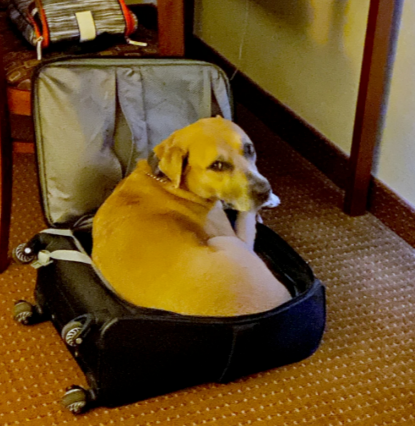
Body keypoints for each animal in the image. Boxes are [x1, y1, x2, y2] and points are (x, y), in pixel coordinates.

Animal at [92, 117, 291, 316]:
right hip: (225, 241)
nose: (265, 191)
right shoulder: (233, 233)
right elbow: (246, 214)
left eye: (249, 149)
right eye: (217, 165)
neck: (166, 181)